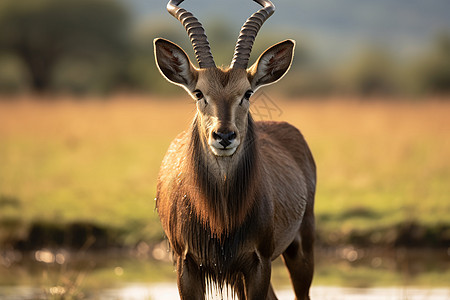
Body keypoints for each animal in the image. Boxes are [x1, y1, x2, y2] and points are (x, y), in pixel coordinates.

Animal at [156, 1, 316, 298]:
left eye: (247, 93)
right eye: (199, 93)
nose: (224, 136)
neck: (220, 218)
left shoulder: (258, 263)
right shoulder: (186, 265)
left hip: (300, 249)